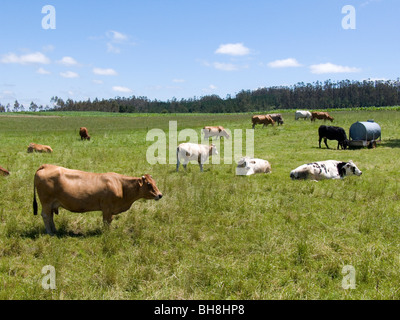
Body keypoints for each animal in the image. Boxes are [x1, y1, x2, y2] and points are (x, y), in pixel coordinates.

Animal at [32, 165, 162, 235]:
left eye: (155, 182)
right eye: (149, 184)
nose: (160, 195)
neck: (120, 185)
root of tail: (46, 165)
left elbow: (109, 221)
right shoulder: (107, 208)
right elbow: (106, 221)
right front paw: (107, 233)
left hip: (51, 204)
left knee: (50, 216)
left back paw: (54, 230)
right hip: (46, 202)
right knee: (45, 215)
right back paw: (50, 232)